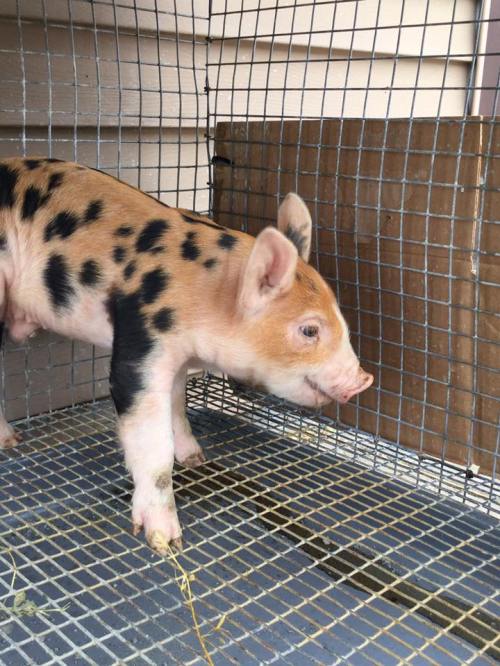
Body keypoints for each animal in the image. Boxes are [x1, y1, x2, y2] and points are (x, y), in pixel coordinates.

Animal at [0, 157, 373, 553]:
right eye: (309, 330)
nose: (364, 379)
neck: (209, 294)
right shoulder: (140, 342)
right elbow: (152, 442)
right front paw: (166, 542)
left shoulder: (178, 359)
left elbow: (178, 406)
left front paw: (195, 458)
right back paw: (12, 442)